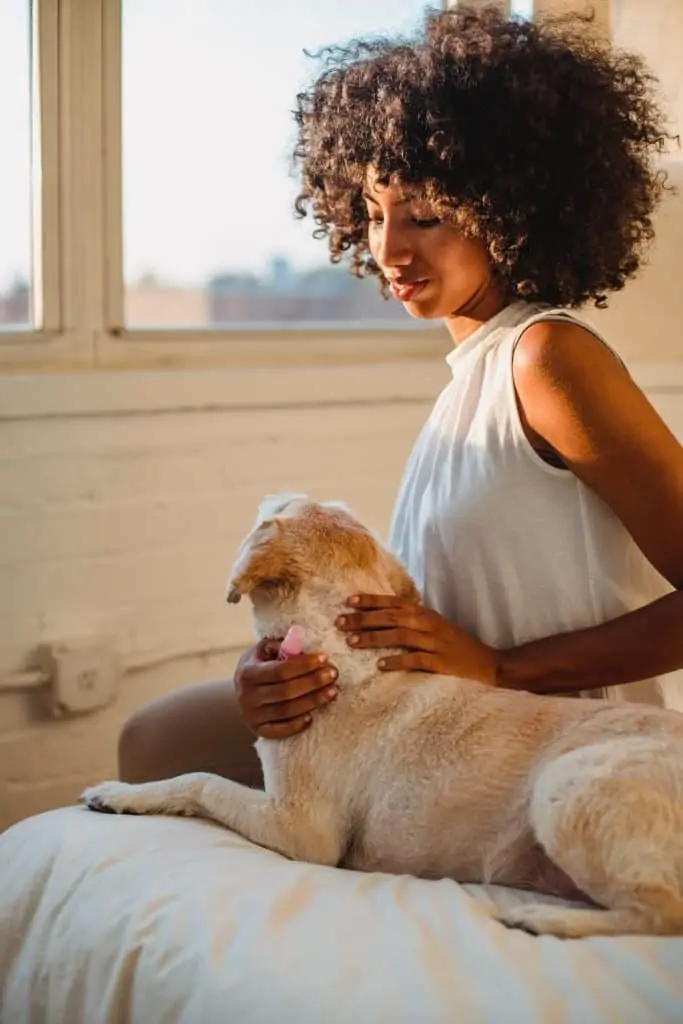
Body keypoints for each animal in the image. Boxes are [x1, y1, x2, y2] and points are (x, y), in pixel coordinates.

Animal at [82, 493, 683, 937]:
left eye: (278, 506)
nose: (266, 494)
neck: (346, 657)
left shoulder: (302, 829)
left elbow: (199, 781)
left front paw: (118, 793)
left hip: (567, 786)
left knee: (664, 914)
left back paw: (543, 920)